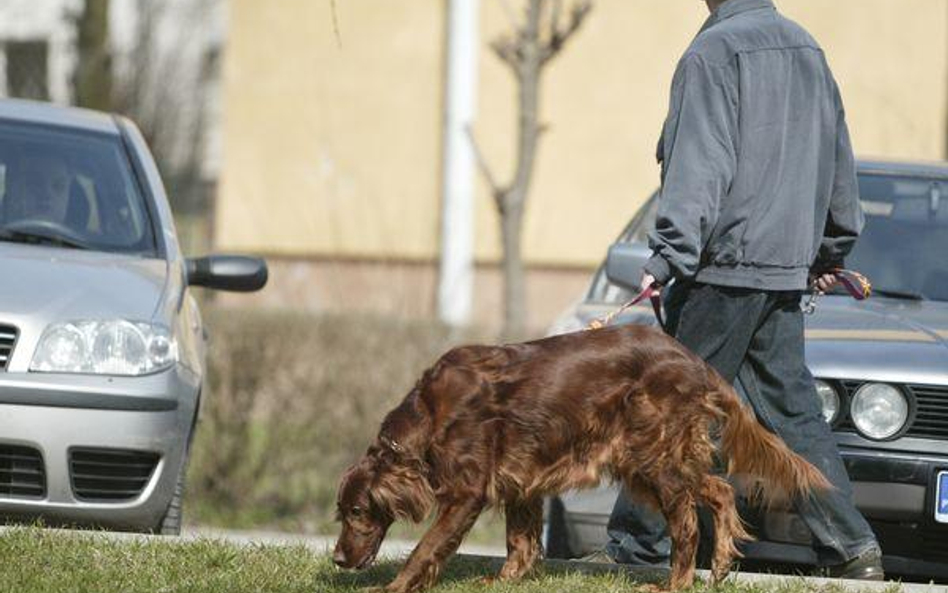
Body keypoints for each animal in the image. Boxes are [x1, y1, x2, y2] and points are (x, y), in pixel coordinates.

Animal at [334, 324, 828, 592]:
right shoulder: (520, 479)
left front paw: (392, 586)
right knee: (720, 490)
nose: (337, 559)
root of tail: (691, 360)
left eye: (358, 511)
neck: (431, 413)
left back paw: (675, 582)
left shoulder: (466, 492)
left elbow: (426, 547)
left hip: (655, 459)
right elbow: (520, 541)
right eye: (341, 512)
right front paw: (507, 580)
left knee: (687, 522)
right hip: (653, 459)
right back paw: (721, 564)